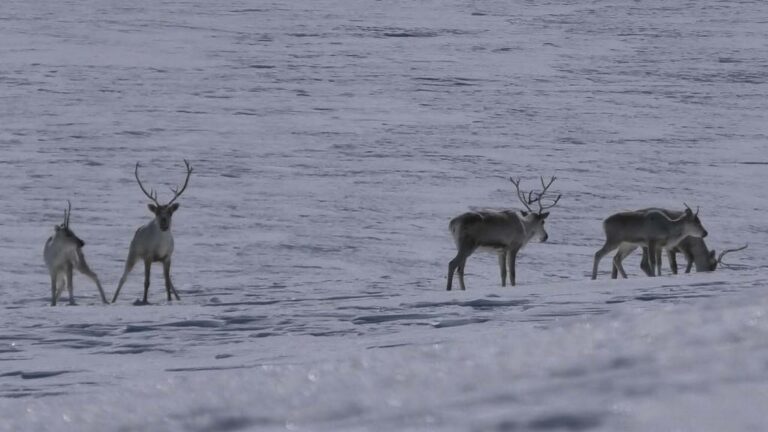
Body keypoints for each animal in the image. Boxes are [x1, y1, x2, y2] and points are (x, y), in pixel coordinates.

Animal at [111, 160, 192, 305]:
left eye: (170, 212)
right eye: (157, 212)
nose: (164, 224)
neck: (161, 245)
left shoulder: (167, 257)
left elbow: (167, 282)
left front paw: (169, 300)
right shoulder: (148, 257)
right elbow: (147, 282)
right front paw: (144, 301)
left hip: (159, 261)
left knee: (169, 281)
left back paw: (178, 297)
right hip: (133, 253)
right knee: (123, 277)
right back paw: (113, 300)